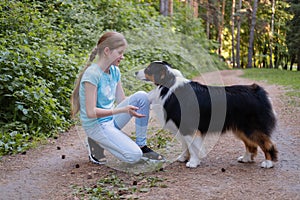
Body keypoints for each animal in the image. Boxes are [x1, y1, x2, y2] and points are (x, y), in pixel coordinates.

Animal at [135, 61, 276, 169]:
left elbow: (192, 147)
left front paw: (193, 162)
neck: (168, 85)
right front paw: (183, 158)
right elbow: (185, 145)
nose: (135, 72)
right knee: (251, 144)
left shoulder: (188, 127)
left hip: (252, 127)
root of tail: (257, 91)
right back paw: (246, 158)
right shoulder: (182, 127)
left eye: (148, 68)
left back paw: (268, 163)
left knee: (267, 144)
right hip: (242, 128)